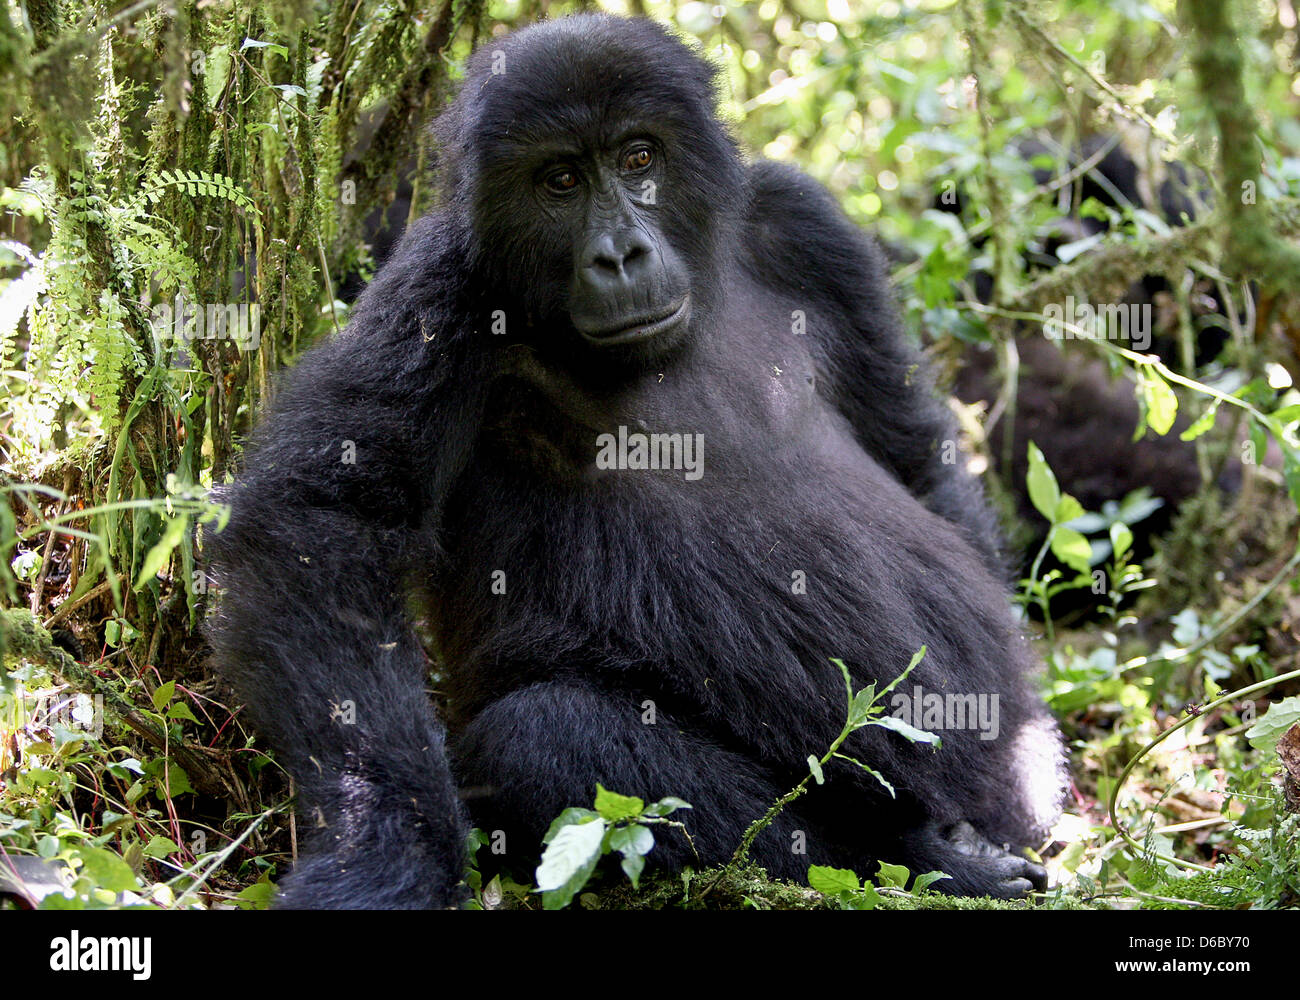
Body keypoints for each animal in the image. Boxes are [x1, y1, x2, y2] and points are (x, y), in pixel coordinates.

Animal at [210, 13, 1066, 905]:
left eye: (638, 159)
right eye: (559, 181)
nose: (619, 255)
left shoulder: (804, 223)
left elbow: (907, 443)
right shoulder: (442, 288)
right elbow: (325, 531)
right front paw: (382, 852)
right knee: (542, 738)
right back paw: (920, 853)